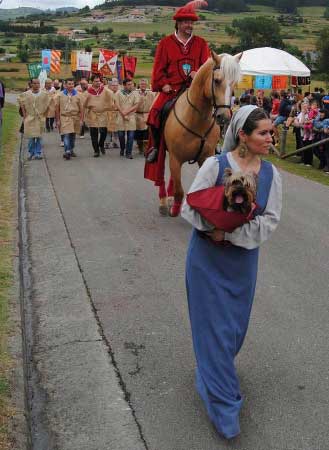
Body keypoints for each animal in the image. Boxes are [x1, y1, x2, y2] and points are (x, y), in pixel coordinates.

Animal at [161, 51, 241, 216]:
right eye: (216, 81)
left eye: (234, 84)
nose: (224, 117)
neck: (195, 120)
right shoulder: (175, 159)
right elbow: (179, 190)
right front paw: (175, 209)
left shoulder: (205, 158)